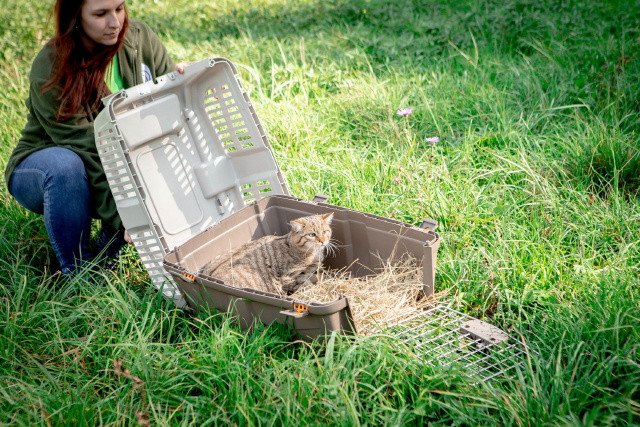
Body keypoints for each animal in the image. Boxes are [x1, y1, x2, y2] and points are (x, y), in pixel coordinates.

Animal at [200, 213, 336, 296]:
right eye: (312, 234)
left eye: (325, 231)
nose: (323, 241)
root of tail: (205, 275)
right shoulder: (290, 279)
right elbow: (307, 283)